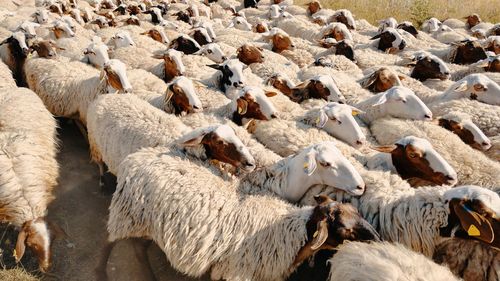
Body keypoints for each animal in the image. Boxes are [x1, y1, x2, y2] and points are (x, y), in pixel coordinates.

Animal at [96, 145, 378, 280]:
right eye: (326, 163)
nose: (360, 187)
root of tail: (138, 156)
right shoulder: (236, 268)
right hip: (126, 214)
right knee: (108, 243)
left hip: (146, 221)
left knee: (139, 247)